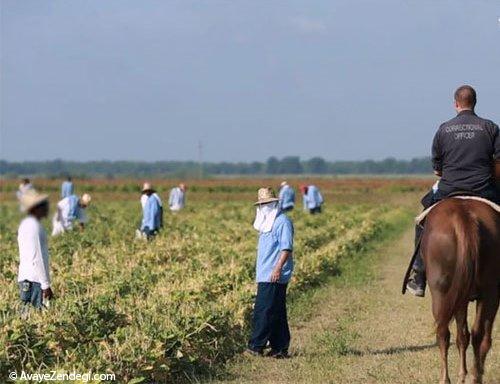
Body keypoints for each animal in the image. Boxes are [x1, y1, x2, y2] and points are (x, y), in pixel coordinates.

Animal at [422, 198, 500, 384]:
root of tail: (463, 216)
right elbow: (464, 335)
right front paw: (464, 374)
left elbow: (461, 335)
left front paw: (461, 374)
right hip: (490, 293)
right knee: (479, 335)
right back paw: (475, 376)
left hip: (441, 292)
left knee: (443, 333)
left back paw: (446, 378)